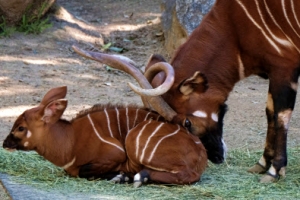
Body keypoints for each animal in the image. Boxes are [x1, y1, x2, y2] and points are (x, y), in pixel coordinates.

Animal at [2, 86, 209, 188]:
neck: (70, 140)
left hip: (135, 140)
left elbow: (84, 171)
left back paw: (139, 177)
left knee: (188, 175)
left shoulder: (116, 153)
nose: (5, 143)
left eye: (21, 127)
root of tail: (201, 153)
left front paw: (119, 177)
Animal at [72, 0, 300, 182]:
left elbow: (280, 116)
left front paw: (274, 171)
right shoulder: (274, 72)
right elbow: (270, 112)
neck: (235, 26)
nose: (216, 157)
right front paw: (262, 164)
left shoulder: (284, 68)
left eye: (188, 123)